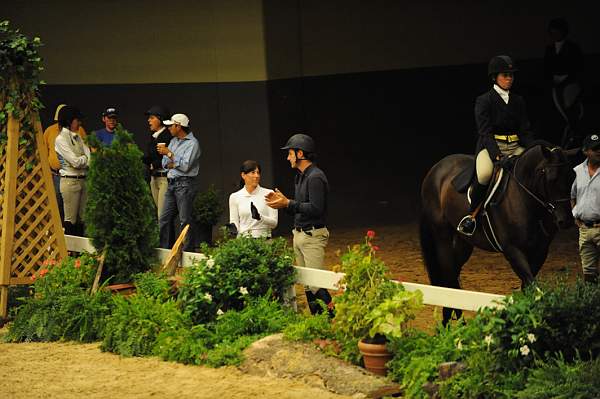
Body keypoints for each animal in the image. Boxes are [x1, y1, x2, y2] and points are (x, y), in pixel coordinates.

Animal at [418, 145, 576, 324]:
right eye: (552, 179)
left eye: (572, 177)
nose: (567, 221)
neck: (526, 201)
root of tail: (436, 168)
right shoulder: (512, 250)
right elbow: (531, 285)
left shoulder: (540, 251)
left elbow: (528, 287)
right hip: (442, 236)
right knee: (448, 273)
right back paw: (452, 323)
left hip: (463, 242)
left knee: (453, 277)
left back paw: (454, 319)